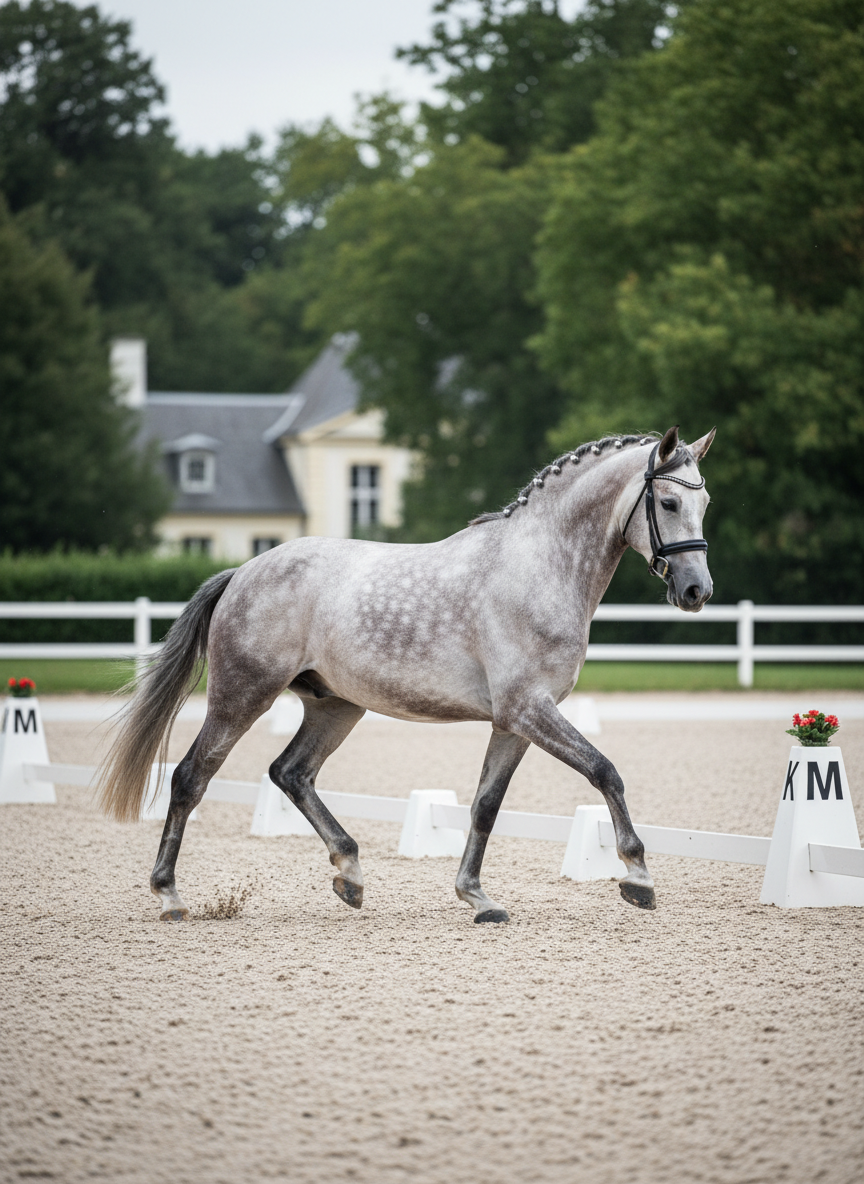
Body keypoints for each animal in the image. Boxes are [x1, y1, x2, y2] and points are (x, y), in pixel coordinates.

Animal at [97, 424, 715, 923]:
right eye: (666, 501)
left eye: (704, 501)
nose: (696, 592)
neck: (539, 566)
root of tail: (244, 571)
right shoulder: (529, 709)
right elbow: (605, 771)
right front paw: (637, 877)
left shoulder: (513, 722)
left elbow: (485, 805)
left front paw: (477, 898)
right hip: (242, 695)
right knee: (191, 777)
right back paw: (170, 896)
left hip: (336, 705)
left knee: (291, 773)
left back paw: (349, 873)